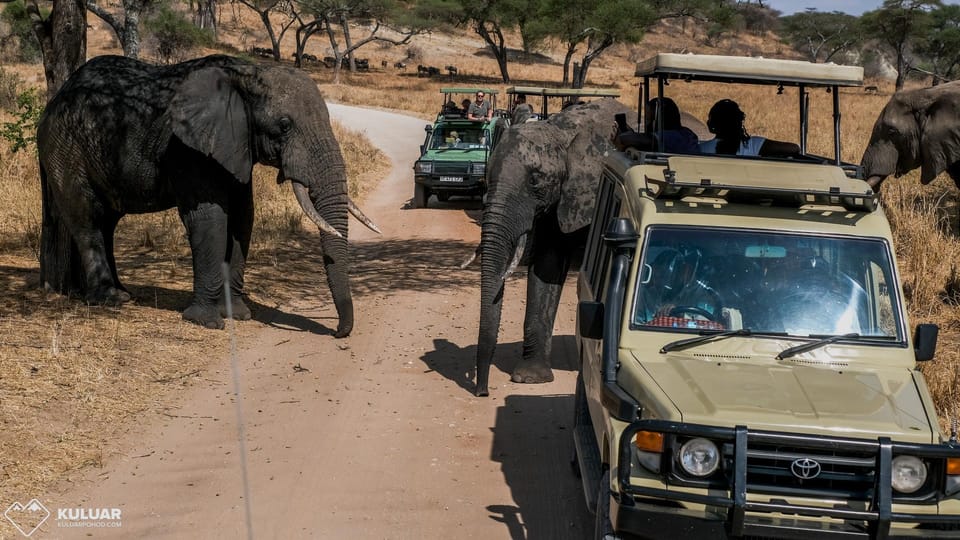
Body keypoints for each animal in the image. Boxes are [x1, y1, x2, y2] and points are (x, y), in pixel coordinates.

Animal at [36, 54, 378, 334]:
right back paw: (110, 300)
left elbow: (243, 216)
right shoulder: (187, 148)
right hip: (66, 148)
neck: (246, 72)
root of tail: (53, 102)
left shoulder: (236, 145)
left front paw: (239, 315)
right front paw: (206, 321)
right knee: (88, 218)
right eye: (284, 125)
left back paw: (124, 294)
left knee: (107, 222)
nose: (339, 332)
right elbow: (209, 218)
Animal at [470, 98, 632, 396]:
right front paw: (530, 378)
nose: (482, 392)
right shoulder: (557, 202)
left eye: (535, 180)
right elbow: (547, 266)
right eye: (487, 175)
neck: (561, 131)